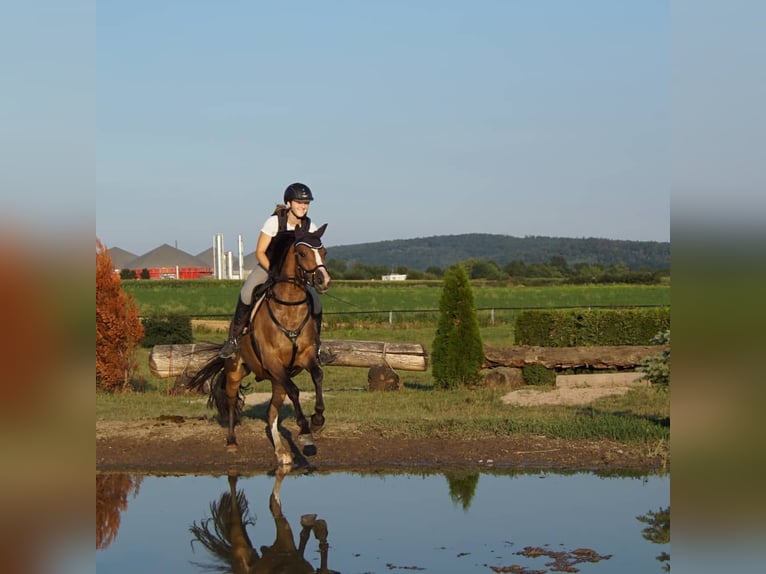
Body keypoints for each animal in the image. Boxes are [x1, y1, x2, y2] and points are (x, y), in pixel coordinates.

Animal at [188, 225, 332, 468]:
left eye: (324, 252)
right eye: (302, 253)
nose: (324, 281)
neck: (290, 307)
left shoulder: (305, 355)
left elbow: (318, 376)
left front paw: (317, 420)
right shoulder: (273, 361)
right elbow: (295, 391)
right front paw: (304, 430)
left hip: (275, 380)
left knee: (271, 412)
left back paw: (282, 452)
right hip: (236, 371)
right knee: (231, 400)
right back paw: (232, 441)